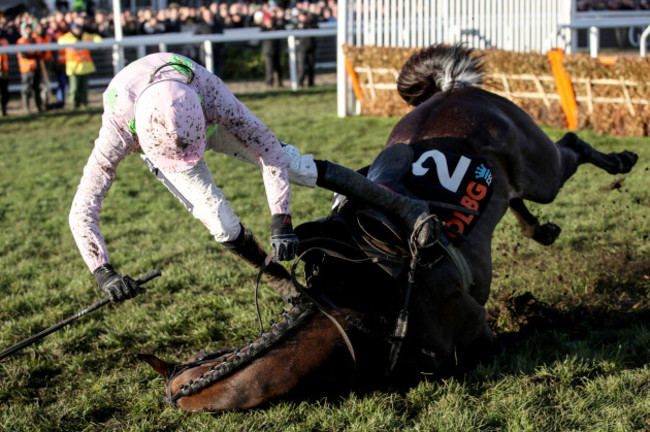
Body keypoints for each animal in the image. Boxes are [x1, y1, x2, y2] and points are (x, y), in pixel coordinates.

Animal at [140, 44, 632, 412]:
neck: (360, 309)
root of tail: (453, 89)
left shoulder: (479, 336)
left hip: (540, 169)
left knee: (569, 145)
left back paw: (621, 160)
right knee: (515, 200)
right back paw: (541, 230)